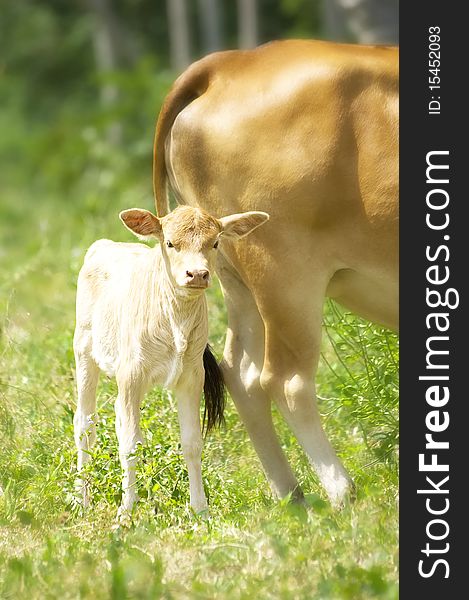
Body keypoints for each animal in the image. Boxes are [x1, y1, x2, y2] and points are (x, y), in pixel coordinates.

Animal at [72, 203, 268, 520]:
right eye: (170, 243)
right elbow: (129, 445)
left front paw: (201, 510)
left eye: (215, 243)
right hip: (84, 349)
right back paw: (81, 498)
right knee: (85, 423)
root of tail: (103, 246)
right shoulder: (130, 375)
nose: (197, 274)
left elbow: (192, 443)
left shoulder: (192, 376)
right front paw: (126, 512)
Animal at [152, 39, 396, 504]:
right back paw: (341, 490)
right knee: (285, 379)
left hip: (230, 271)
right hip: (285, 276)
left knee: (241, 374)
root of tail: (229, 64)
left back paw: (291, 495)